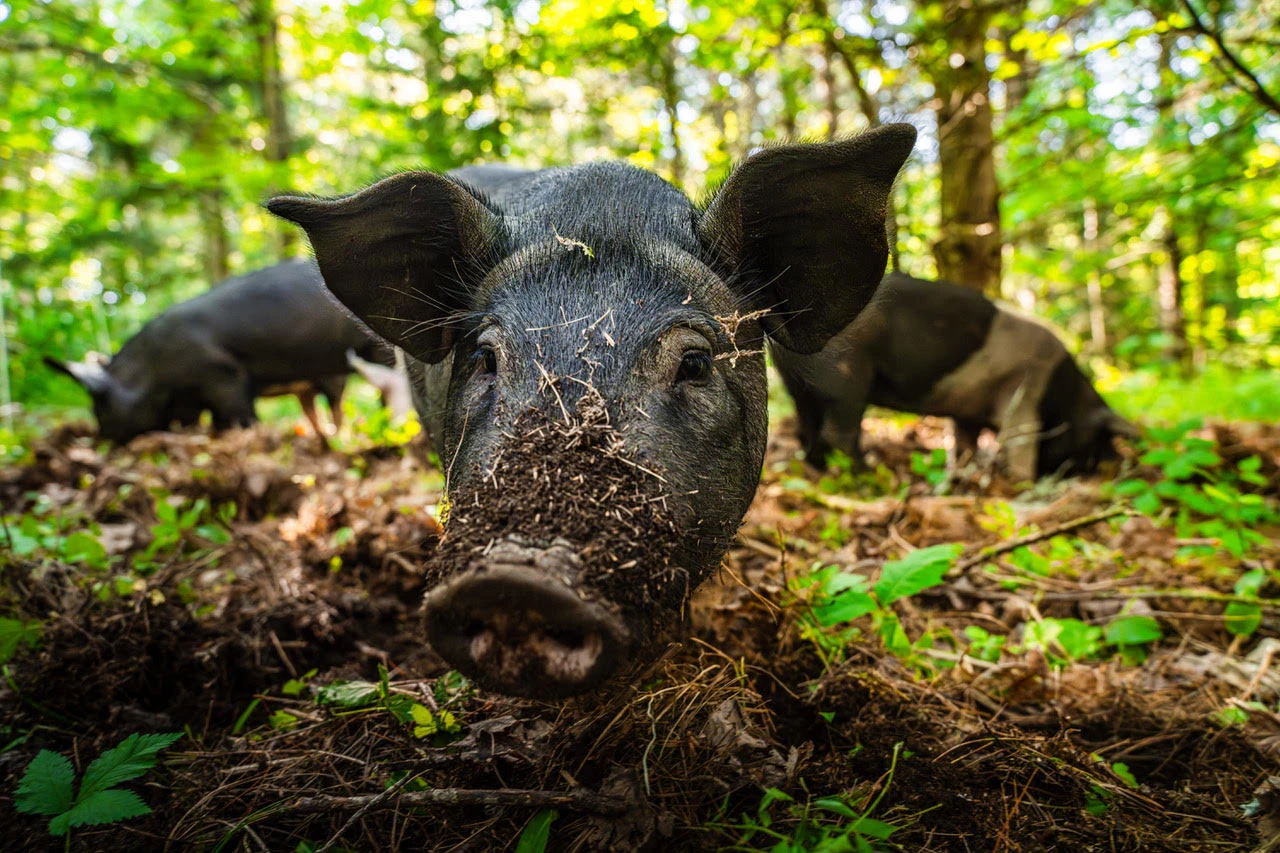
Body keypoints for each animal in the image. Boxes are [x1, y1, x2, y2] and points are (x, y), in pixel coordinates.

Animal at [771, 271, 1140, 481]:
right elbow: (1020, 438)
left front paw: (962, 472)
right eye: (1096, 439)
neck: (1066, 395)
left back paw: (818, 470)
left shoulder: (969, 411)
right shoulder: (1023, 392)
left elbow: (965, 441)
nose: (1110, 466)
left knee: (807, 428)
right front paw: (1023, 482)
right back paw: (875, 475)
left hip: (796, 382)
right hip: (848, 376)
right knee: (839, 433)